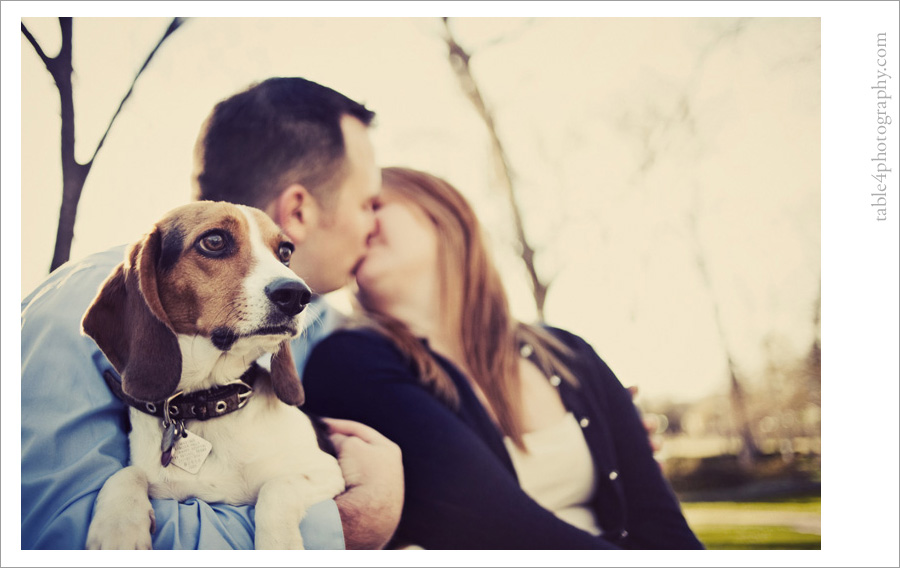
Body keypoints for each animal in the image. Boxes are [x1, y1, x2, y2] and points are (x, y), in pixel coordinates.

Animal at [80, 201, 344, 552]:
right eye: (214, 241)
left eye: (286, 251)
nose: (297, 294)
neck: (208, 401)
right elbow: (125, 474)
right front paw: (118, 528)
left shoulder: (327, 470)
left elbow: (277, 488)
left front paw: (280, 545)